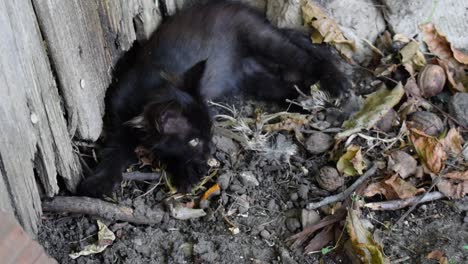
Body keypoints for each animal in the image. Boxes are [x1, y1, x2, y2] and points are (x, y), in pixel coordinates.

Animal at [77, 1, 350, 197]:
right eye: (194, 140)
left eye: (210, 130)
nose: (212, 150)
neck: (146, 89)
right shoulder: (118, 118)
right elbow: (116, 150)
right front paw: (99, 182)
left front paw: (185, 173)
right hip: (251, 75)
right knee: (280, 84)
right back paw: (301, 102)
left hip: (262, 38)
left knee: (309, 59)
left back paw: (337, 83)